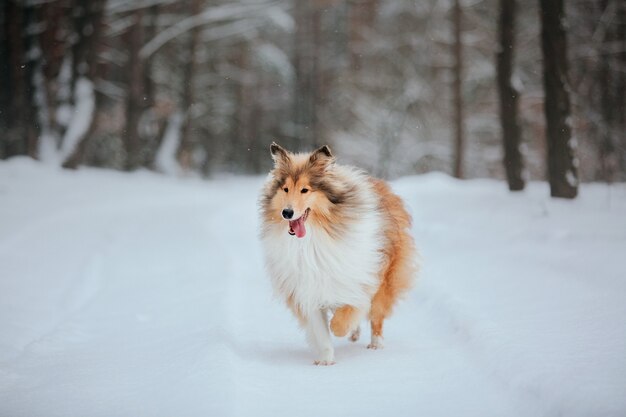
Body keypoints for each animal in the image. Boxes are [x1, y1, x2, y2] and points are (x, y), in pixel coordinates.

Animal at [258, 142, 414, 364]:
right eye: (285, 189)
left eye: (305, 190)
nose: (286, 213)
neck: (314, 239)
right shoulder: (307, 289)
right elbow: (321, 330)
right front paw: (326, 360)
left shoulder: (358, 278)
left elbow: (348, 314)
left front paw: (338, 328)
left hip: (387, 276)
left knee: (376, 315)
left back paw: (375, 344)